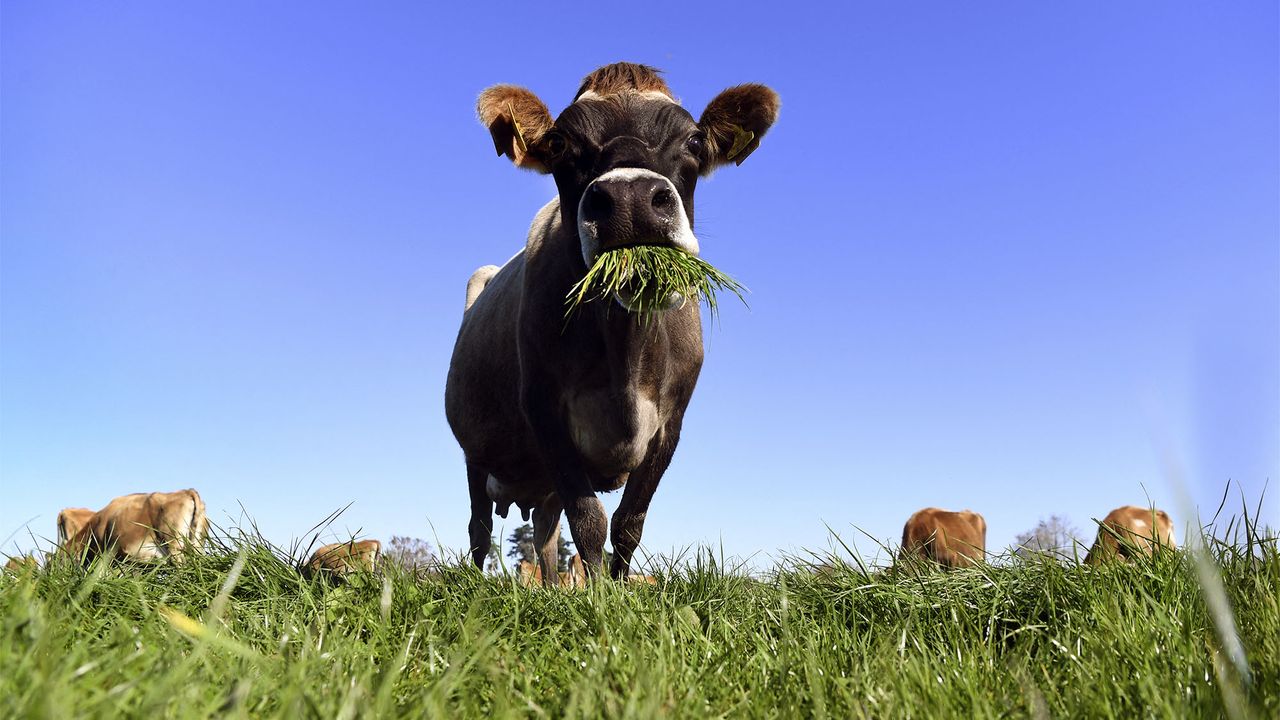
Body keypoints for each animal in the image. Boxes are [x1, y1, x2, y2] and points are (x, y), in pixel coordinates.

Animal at [445, 62, 780, 585]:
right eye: (559, 143)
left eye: (694, 139)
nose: (630, 199)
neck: (626, 354)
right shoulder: (543, 409)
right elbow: (589, 520)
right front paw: (599, 595)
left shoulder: (670, 424)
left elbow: (627, 523)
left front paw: (619, 592)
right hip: (475, 455)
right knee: (479, 528)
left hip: (540, 483)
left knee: (544, 532)